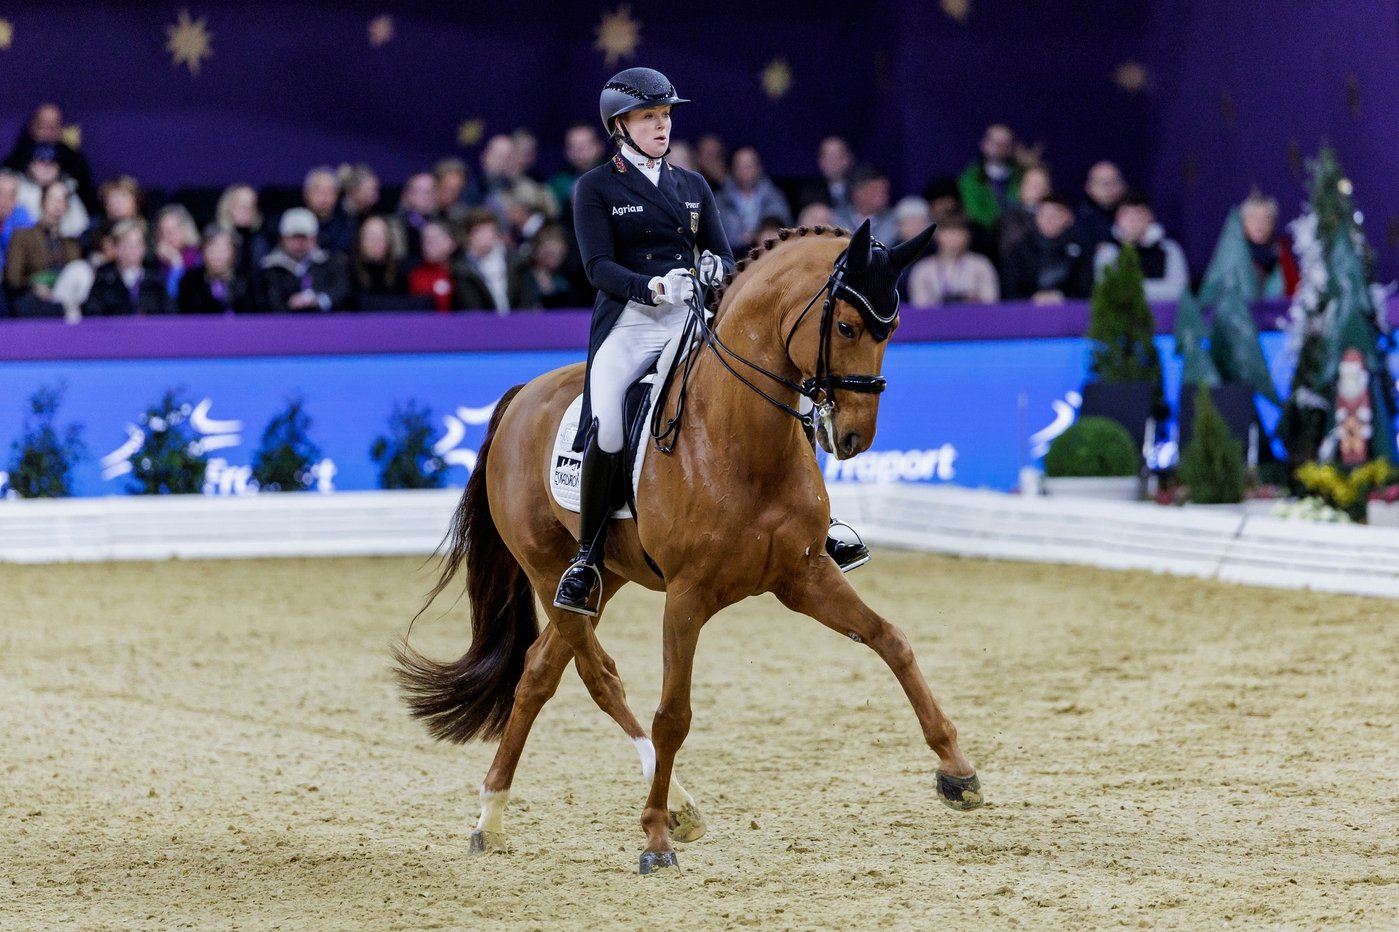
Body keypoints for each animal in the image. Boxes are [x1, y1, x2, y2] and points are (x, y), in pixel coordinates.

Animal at [397, 221, 984, 873]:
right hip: (549, 571)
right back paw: (669, 807)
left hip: (604, 575)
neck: (737, 438)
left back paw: (493, 817)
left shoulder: (805, 576)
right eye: (848, 328)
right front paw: (654, 838)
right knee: (598, 673)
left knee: (539, 672)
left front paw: (957, 772)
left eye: (893, 328)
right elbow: (672, 714)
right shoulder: (687, 597)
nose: (854, 436)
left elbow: (891, 641)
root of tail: (524, 395)